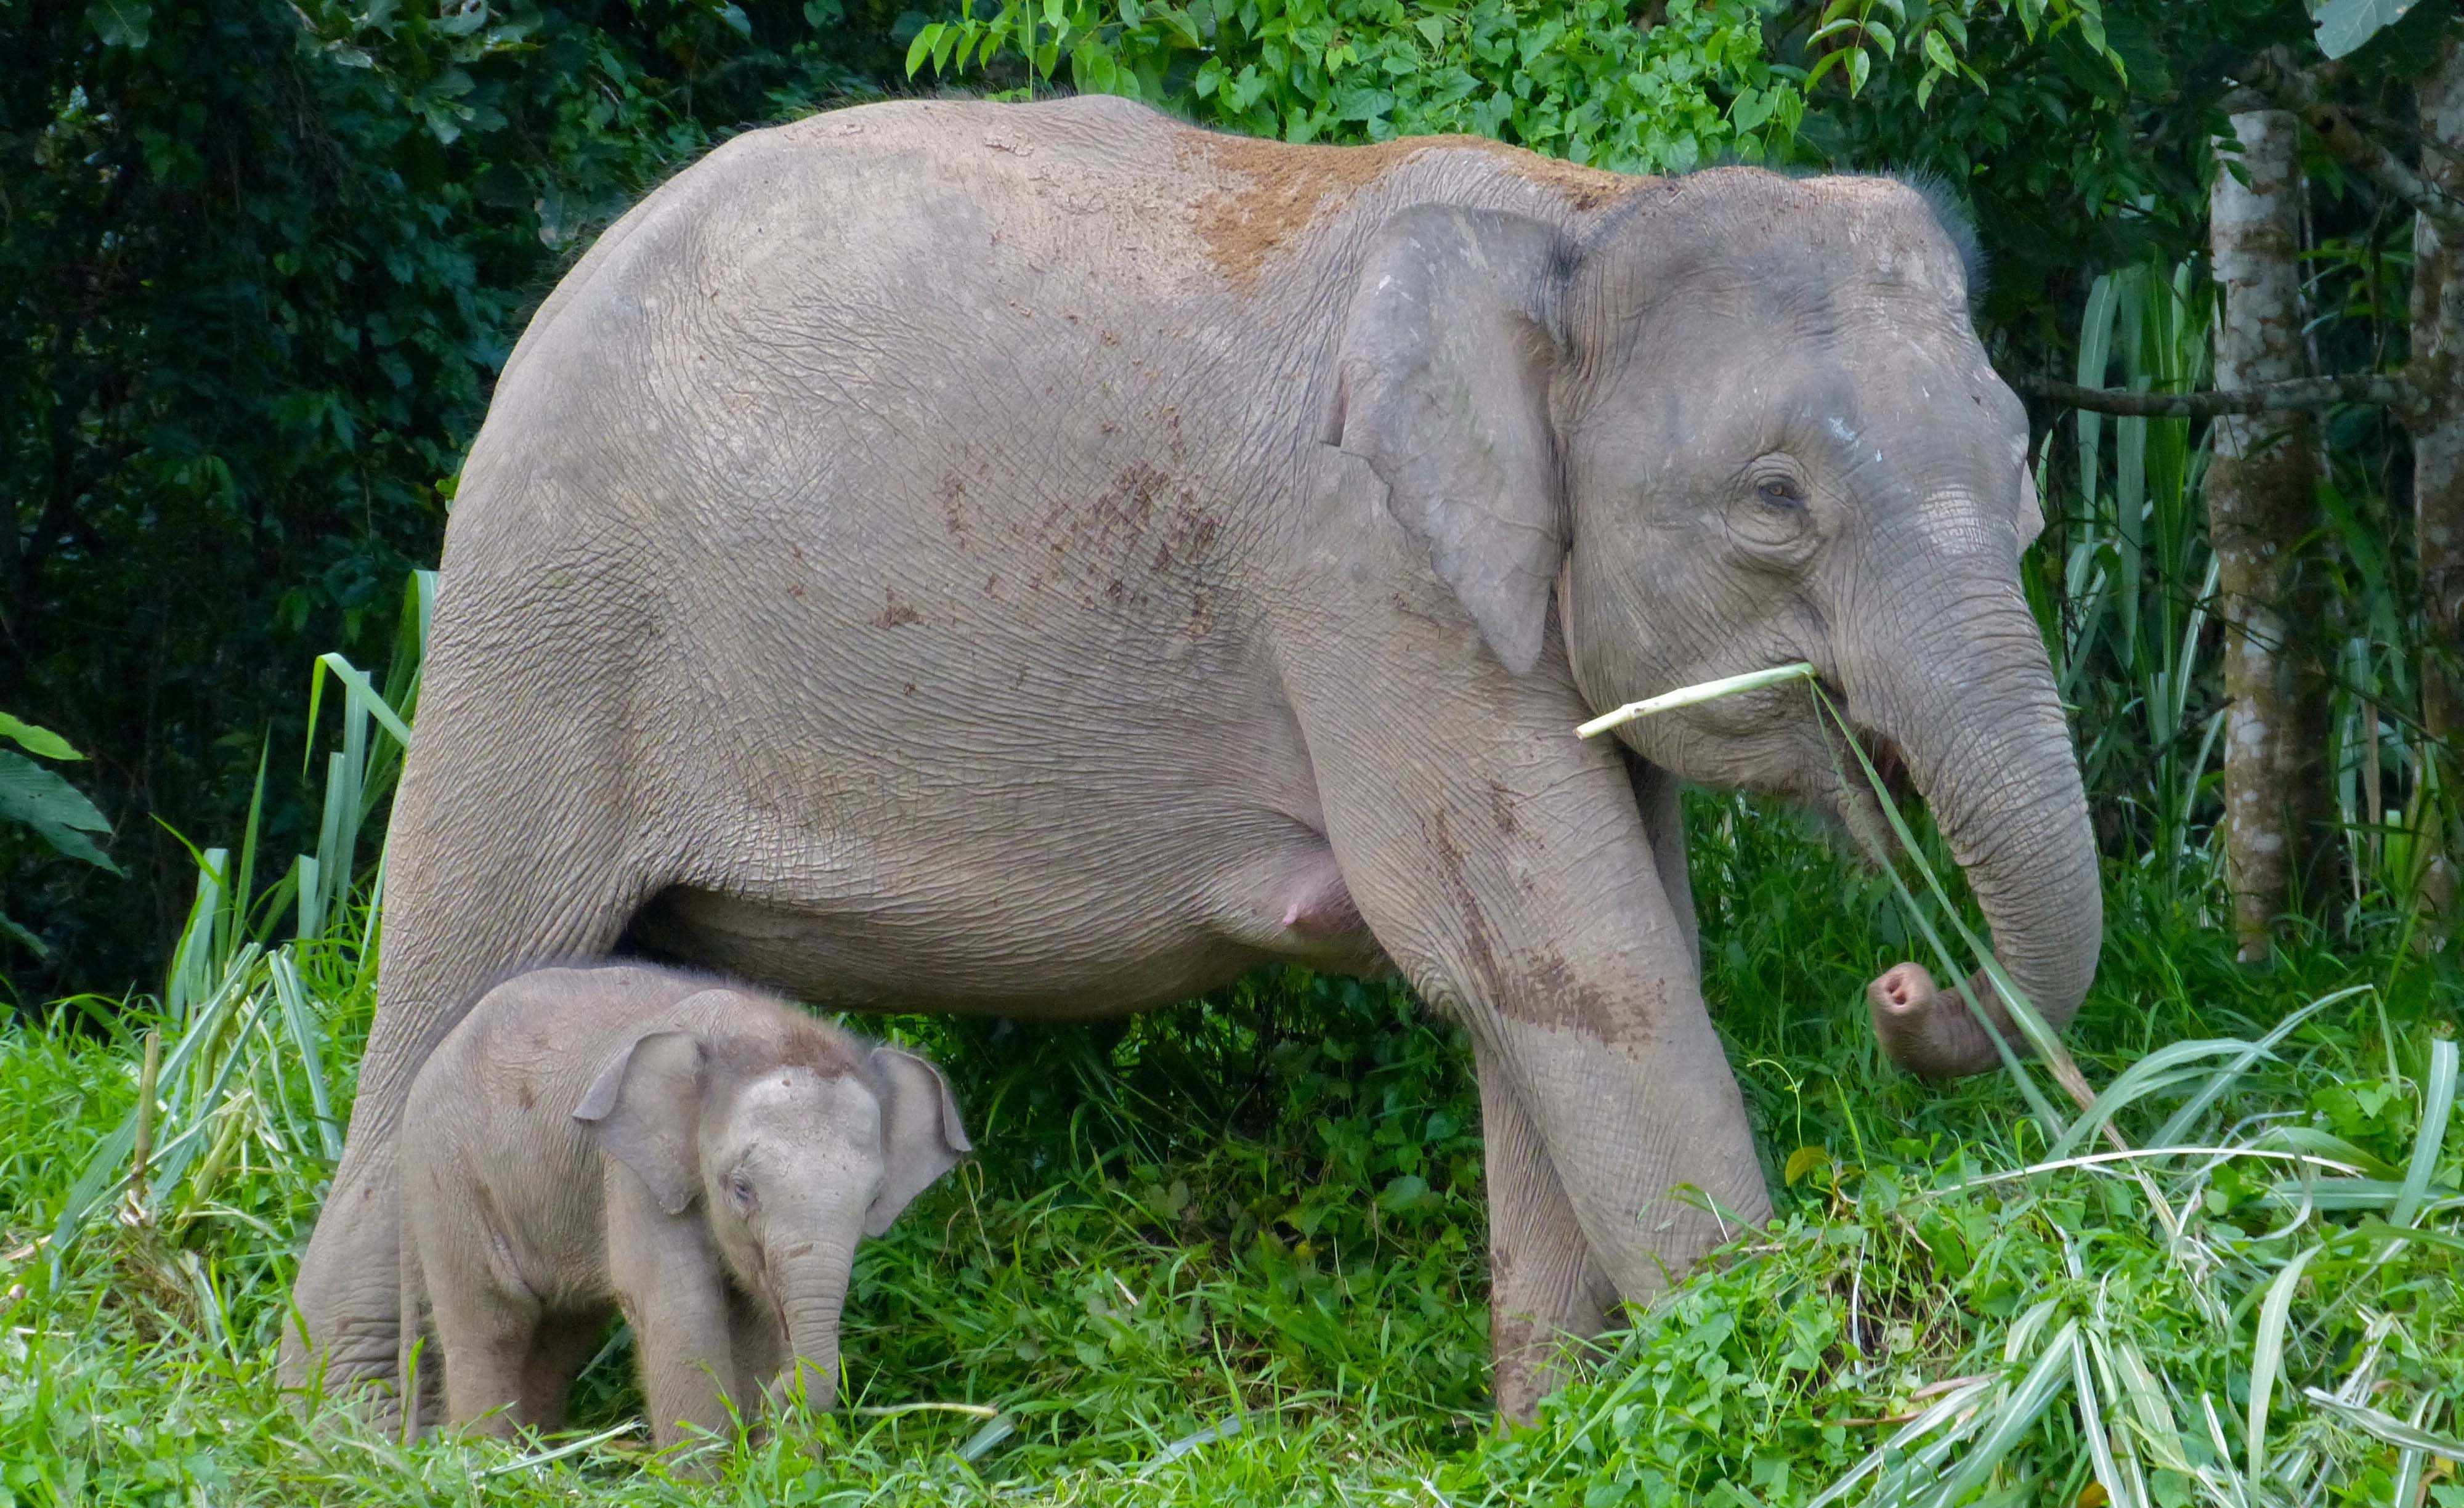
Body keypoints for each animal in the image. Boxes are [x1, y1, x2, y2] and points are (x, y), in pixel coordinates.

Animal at [394, 966, 961, 1449]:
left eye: (873, 1199)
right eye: (741, 1189)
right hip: (445, 1175)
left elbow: (759, 1316)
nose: (778, 1398)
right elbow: (679, 1310)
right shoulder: (632, 1172)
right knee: (491, 1323)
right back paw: (489, 1465)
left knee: (562, 1334)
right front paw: (705, 1485)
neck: (762, 1028)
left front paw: (784, 1471)